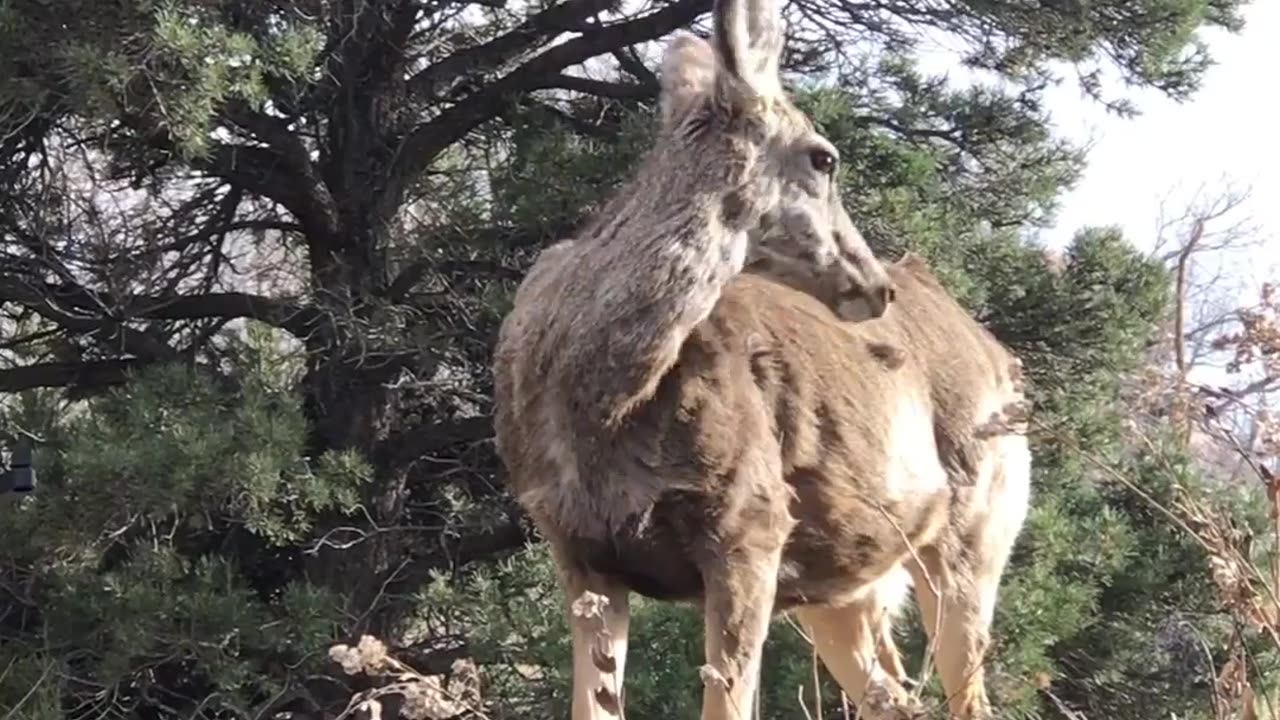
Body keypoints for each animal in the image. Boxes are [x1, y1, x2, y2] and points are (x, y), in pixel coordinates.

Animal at [488, 0, 1029, 712]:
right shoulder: (578, 549)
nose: (877, 286)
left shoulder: (753, 523)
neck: (599, 406)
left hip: (976, 528)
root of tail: (1002, 357)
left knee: (964, 690)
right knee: (894, 694)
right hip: (842, 583)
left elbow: (726, 703)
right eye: (823, 158)